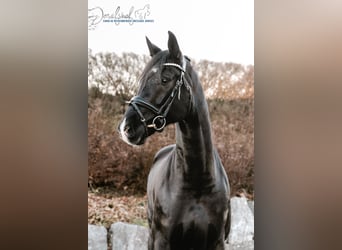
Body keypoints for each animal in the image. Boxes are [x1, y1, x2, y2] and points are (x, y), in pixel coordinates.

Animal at [119, 31, 231, 250]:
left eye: (165, 79)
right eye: (142, 79)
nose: (126, 127)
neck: (197, 181)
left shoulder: (217, 242)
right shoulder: (162, 240)